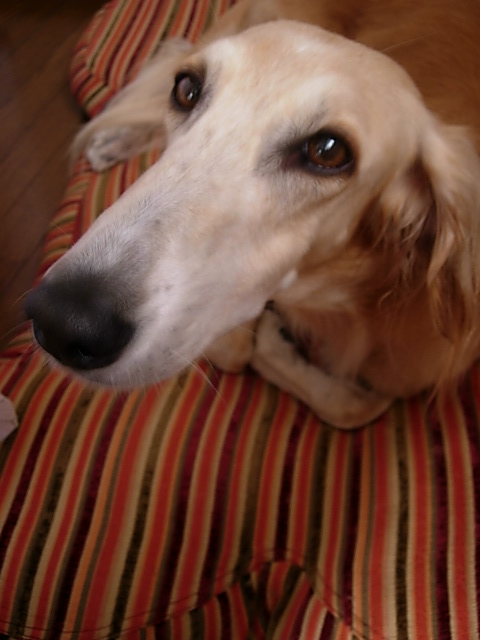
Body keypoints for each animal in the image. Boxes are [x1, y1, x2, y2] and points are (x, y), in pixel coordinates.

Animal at [25, 0, 480, 428]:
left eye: (328, 151)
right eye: (187, 90)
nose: (59, 320)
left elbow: (353, 405)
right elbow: (244, 352)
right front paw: (272, 341)